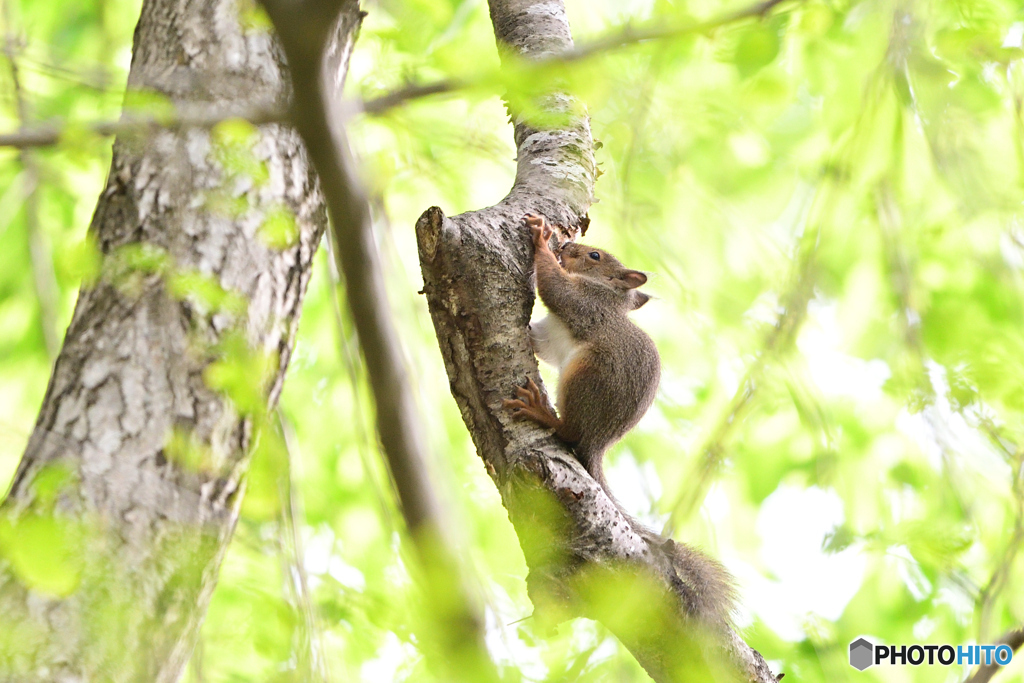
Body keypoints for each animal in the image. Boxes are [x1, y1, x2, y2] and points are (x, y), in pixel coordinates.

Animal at [503, 214, 737, 630]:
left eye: (594, 256)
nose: (568, 246)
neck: (609, 295)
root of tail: (598, 441)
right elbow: (540, 340)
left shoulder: (586, 303)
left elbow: (555, 288)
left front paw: (543, 240)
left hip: (586, 379)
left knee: (569, 430)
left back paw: (542, 411)